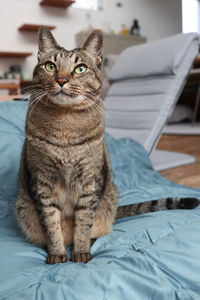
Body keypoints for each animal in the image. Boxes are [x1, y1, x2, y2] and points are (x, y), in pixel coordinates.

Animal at [15, 27, 198, 264]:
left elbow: (83, 223)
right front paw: (56, 253)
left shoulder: (90, 180)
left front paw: (81, 252)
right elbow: (51, 224)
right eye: (50, 66)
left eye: (80, 69)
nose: (62, 80)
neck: (65, 126)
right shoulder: (42, 181)